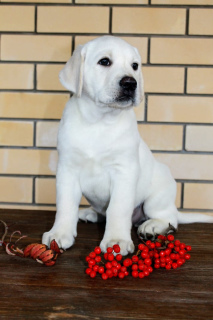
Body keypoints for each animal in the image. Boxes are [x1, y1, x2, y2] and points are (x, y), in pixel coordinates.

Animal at [42, 35, 212, 255]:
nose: (131, 83)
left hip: (157, 194)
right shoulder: (67, 170)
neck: (99, 121)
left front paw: (116, 239)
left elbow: (118, 208)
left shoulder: (124, 171)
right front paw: (59, 233)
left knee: (170, 217)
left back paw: (153, 226)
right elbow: (65, 205)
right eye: (104, 61)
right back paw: (91, 213)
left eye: (135, 66)